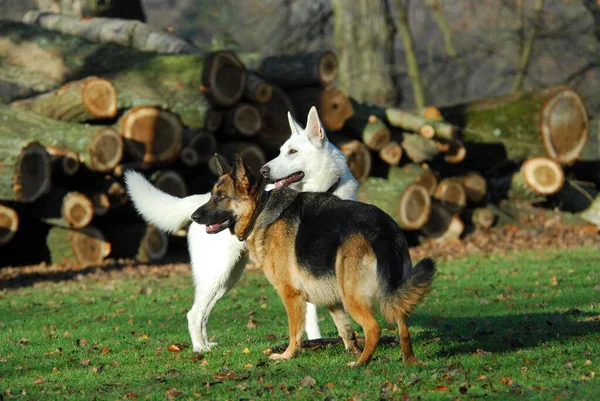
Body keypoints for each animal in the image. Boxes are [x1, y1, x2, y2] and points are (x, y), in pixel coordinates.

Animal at [125, 105, 356, 350]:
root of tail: (201, 200)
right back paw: (199, 349)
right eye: (281, 151)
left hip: (226, 279)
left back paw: (207, 345)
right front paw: (315, 341)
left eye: (292, 151)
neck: (322, 190)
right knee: (194, 313)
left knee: (203, 313)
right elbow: (312, 313)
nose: (263, 171)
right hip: (217, 273)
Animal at [192, 153, 436, 366]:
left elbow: (295, 331)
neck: (261, 208)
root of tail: (382, 227)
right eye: (212, 195)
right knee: (402, 325)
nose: (194, 217)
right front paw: (350, 349)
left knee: (374, 328)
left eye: (221, 197)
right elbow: (345, 329)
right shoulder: (331, 297)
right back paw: (407, 361)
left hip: (352, 297)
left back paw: (361, 363)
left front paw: (288, 355)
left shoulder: (290, 294)